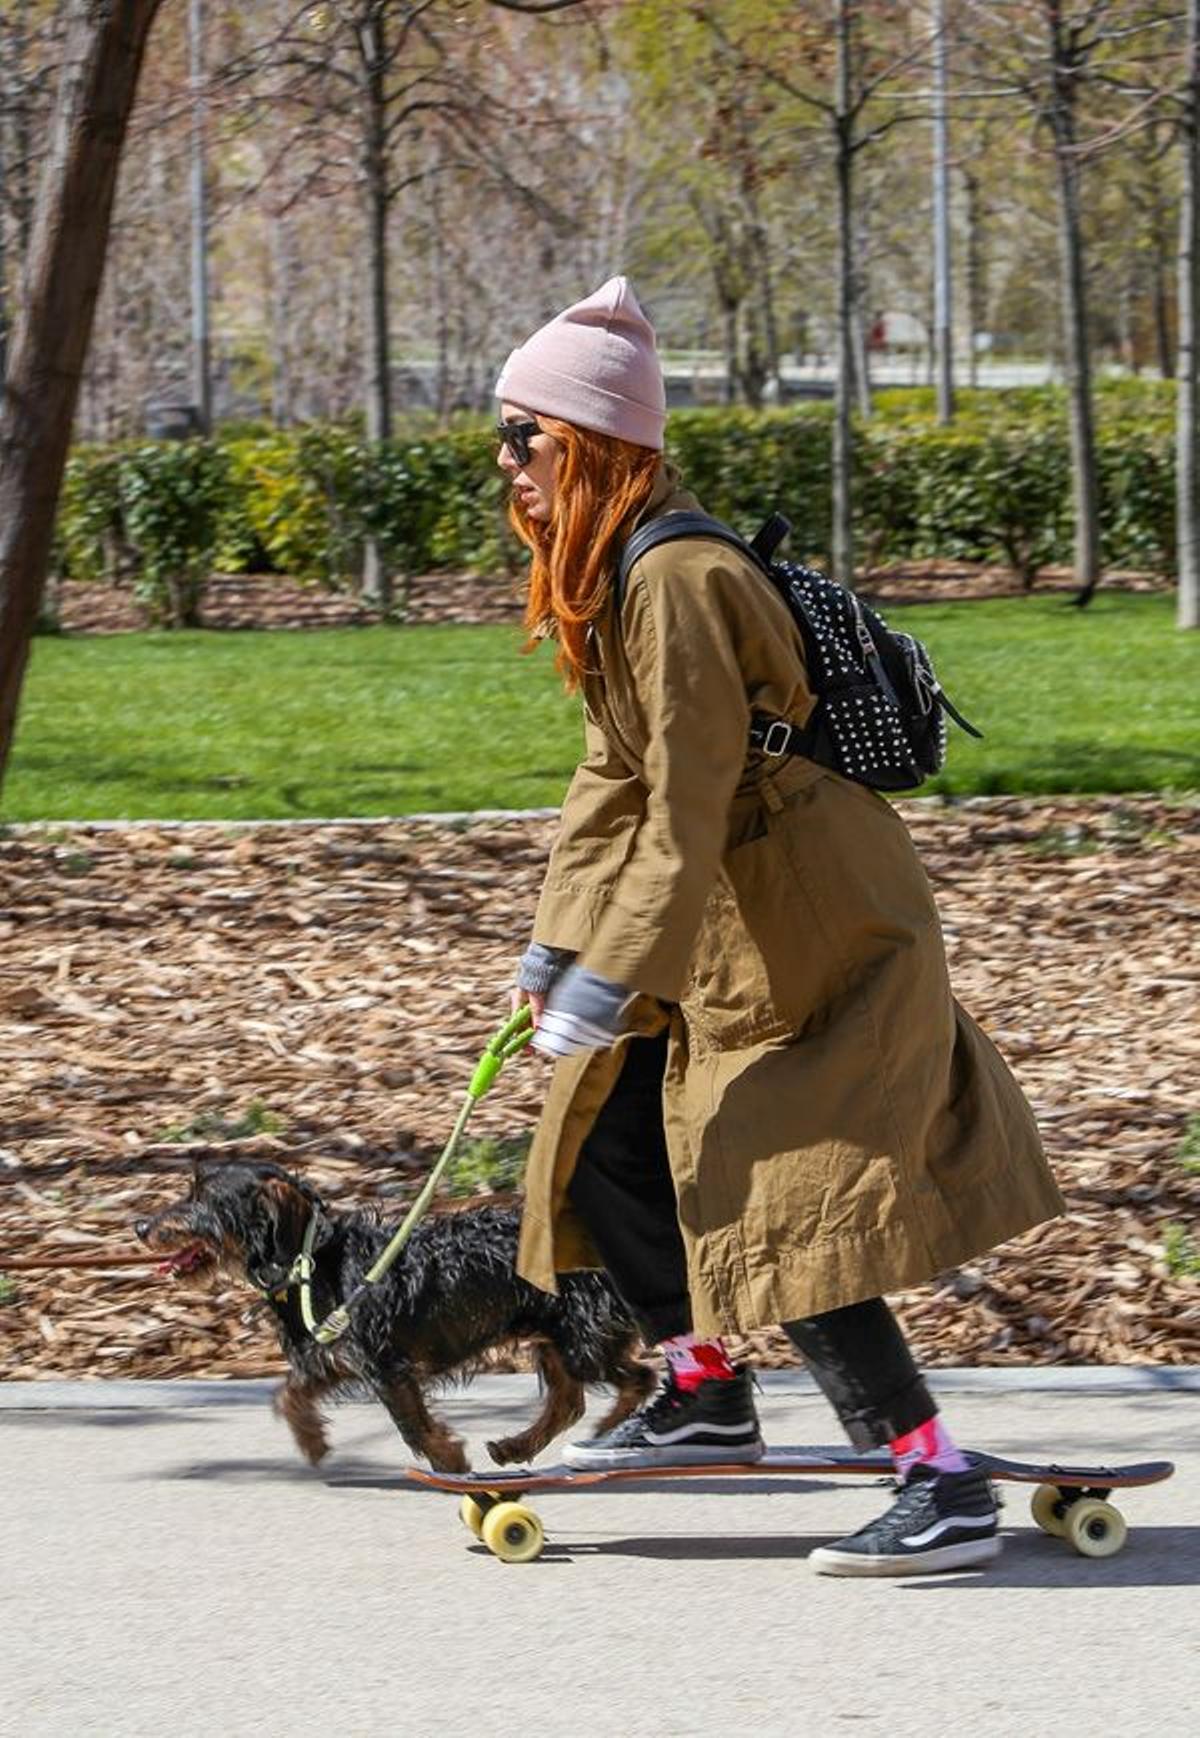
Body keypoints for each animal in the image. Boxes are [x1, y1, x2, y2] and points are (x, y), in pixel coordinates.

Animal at [135, 1160, 650, 1473]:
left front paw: (450, 1463)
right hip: (553, 1338)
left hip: (581, 1340)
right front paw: (313, 1442)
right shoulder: (333, 1356)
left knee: (637, 1379)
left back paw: (608, 1431)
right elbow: (288, 1395)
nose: (140, 1225)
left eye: (201, 1200)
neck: (315, 1261)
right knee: (569, 1401)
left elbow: (411, 1424)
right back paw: (518, 1446)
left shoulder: (385, 1366)